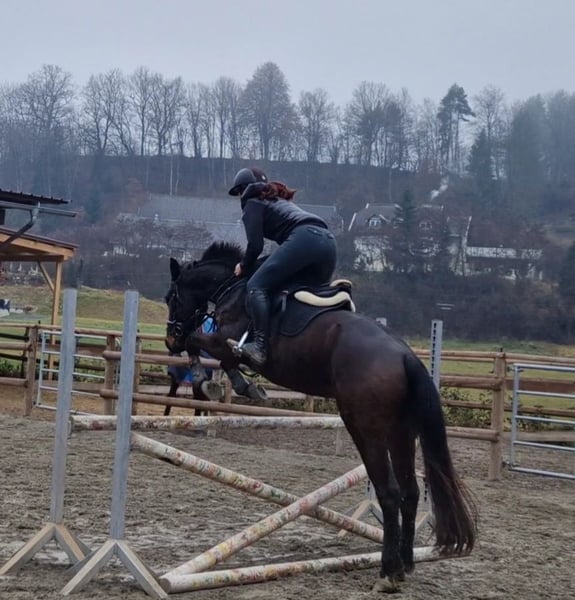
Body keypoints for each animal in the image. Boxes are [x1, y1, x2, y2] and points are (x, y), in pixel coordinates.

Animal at [164, 241, 477, 590]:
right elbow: (212, 353)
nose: (169, 340)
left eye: (171, 298)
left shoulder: (223, 341)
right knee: (409, 492)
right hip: (402, 432)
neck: (232, 287)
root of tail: (404, 356)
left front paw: (216, 380)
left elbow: (203, 345)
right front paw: (236, 384)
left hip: (365, 428)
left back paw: (387, 572)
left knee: (389, 493)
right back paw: (405, 566)